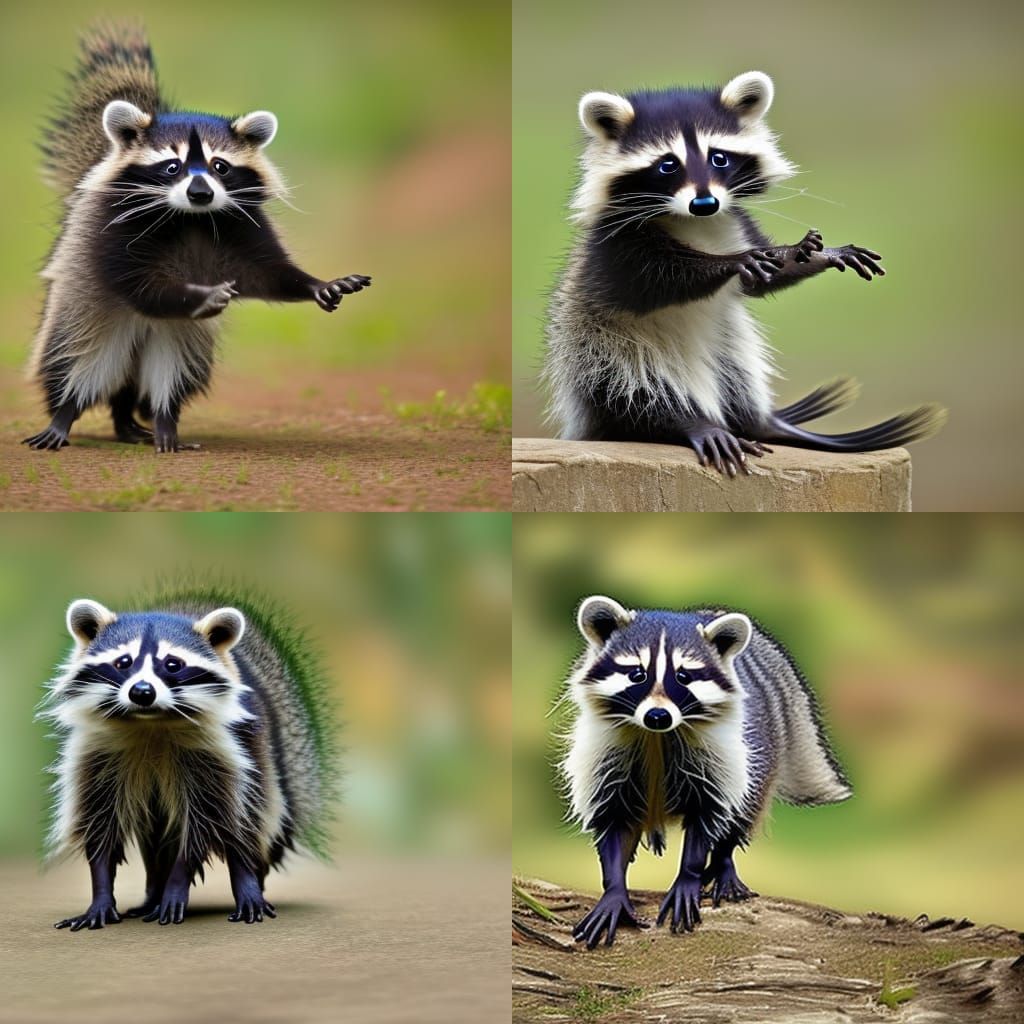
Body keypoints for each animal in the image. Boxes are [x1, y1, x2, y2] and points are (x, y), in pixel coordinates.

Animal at [559, 596, 850, 947]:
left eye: (684, 677)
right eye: (637, 674)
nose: (658, 716)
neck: (658, 737)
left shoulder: (722, 755)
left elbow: (709, 814)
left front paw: (690, 874)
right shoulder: (603, 755)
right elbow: (613, 821)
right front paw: (614, 888)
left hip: (762, 748)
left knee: (744, 808)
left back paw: (723, 863)